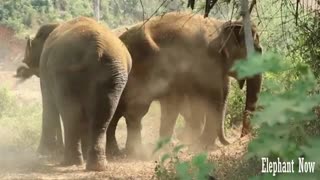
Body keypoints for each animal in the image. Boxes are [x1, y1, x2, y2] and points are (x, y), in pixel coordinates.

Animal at [14, 16, 132, 170]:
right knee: (103, 114)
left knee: (71, 113)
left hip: (65, 71)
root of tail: (96, 48)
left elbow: (49, 104)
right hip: (113, 75)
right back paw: (96, 166)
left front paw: (43, 154)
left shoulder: (46, 72)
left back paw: (70, 162)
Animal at [106, 11, 262, 156]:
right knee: (135, 110)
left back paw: (120, 152)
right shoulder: (205, 62)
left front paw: (191, 143)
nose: (237, 139)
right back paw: (130, 152)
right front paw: (201, 146)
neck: (221, 25)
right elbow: (213, 97)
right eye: (259, 50)